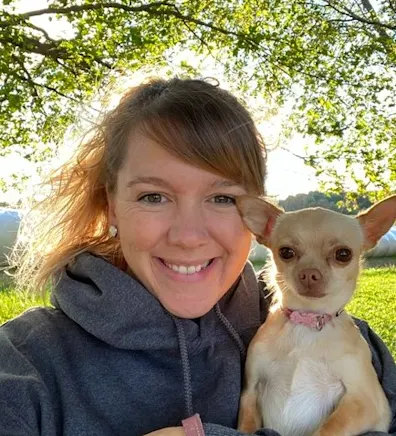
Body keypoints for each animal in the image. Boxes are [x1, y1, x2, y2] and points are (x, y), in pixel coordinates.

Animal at [235, 196, 392, 436]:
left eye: (343, 254)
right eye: (286, 252)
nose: (309, 273)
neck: (307, 319)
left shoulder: (364, 400)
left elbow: (329, 429)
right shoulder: (250, 392)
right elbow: (246, 427)